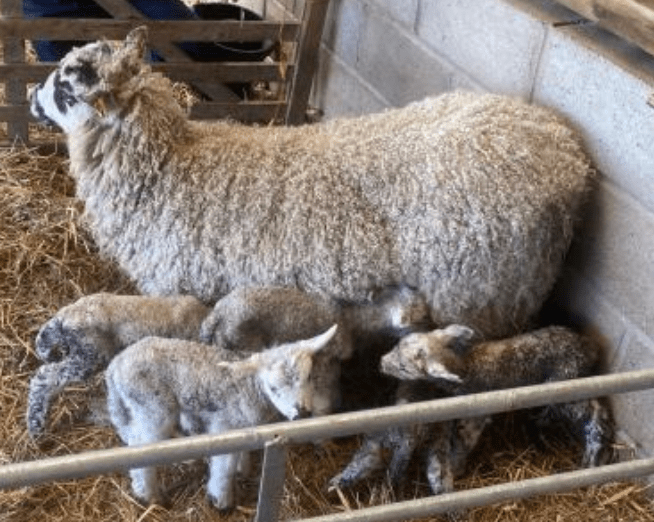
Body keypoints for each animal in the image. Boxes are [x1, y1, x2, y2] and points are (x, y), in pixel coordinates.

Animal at [29, 27, 595, 341]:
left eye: (67, 85)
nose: (33, 96)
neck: (170, 166)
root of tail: (565, 154)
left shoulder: (180, 291)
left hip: (482, 295)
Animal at [105, 326, 337, 510]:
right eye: (273, 388)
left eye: (309, 377)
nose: (302, 413)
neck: (251, 388)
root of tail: (115, 365)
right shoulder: (226, 425)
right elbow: (224, 468)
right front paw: (222, 501)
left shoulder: (243, 424)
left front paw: (243, 470)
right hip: (152, 405)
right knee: (141, 447)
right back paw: (149, 496)